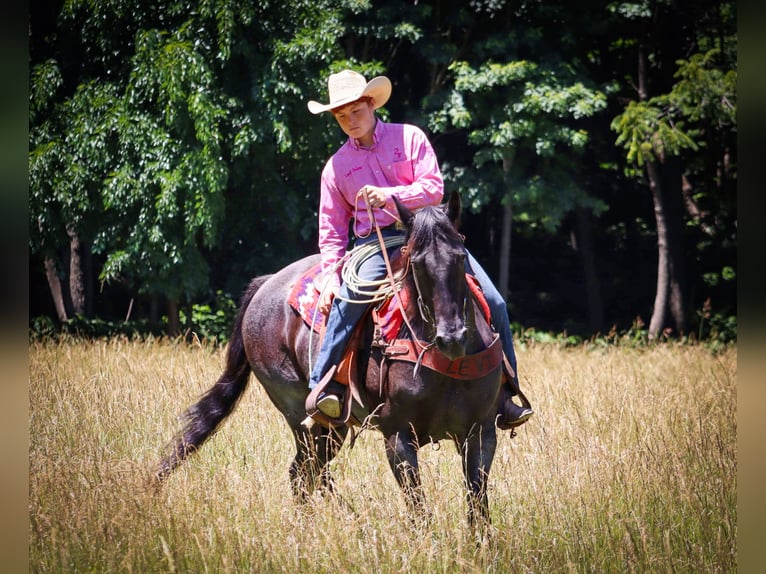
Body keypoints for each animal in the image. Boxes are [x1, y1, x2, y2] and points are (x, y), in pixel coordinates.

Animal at [156, 191, 510, 532]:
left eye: (460, 257)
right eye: (417, 263)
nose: (452, 337)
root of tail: (265, 284)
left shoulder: (481, 433)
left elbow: (478, 506)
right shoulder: (398, 436)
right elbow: (418, 508)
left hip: (331, 429)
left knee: (306, 474)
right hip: (302, 416)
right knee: (307, 473)